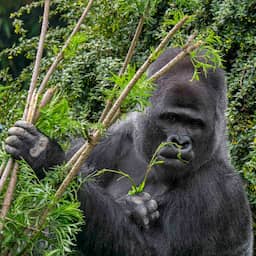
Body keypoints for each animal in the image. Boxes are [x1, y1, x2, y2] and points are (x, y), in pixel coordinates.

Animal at [5, 48, 253, 256]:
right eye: (171, 118)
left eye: (194, 124)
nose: (180, 142)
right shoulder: (106, 139)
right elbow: (36, 222)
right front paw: (133, 207)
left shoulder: (220, 191)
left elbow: (151, 250)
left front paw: (45, 157)